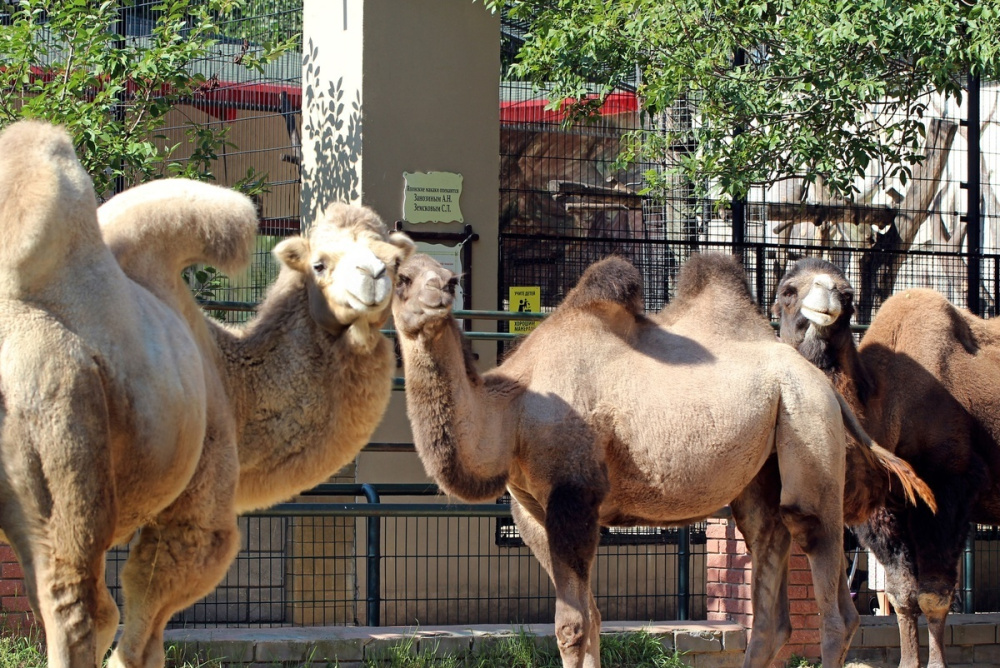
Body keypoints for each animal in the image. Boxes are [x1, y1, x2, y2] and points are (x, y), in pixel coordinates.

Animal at [390, 250, 936, 668]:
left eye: (450, 277)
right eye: (401, 277)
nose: (439, 293)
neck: (515, 410)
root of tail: (823, 383)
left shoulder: (574, 496)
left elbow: (571, 626)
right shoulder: (530, 511)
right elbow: (592, 618)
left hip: (809, 423)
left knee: (828, 582)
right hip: (765, 467)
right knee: (769, 577)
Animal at [772, 256, 1000, 668]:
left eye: (848, 295)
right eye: (787, 290)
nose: (826, 296)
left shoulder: (949, 488)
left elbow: (933, 596)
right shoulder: (883, 510)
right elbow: (902, 595)